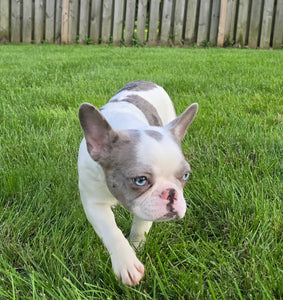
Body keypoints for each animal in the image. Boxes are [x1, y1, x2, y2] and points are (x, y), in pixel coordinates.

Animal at [77, 80, 197, 286]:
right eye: (140, 180)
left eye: (186, 176)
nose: (171, 193)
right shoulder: (94, 203)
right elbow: (111, 230)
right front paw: (126, 262)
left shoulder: (148, 207)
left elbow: (140, 228)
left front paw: (136, 247)